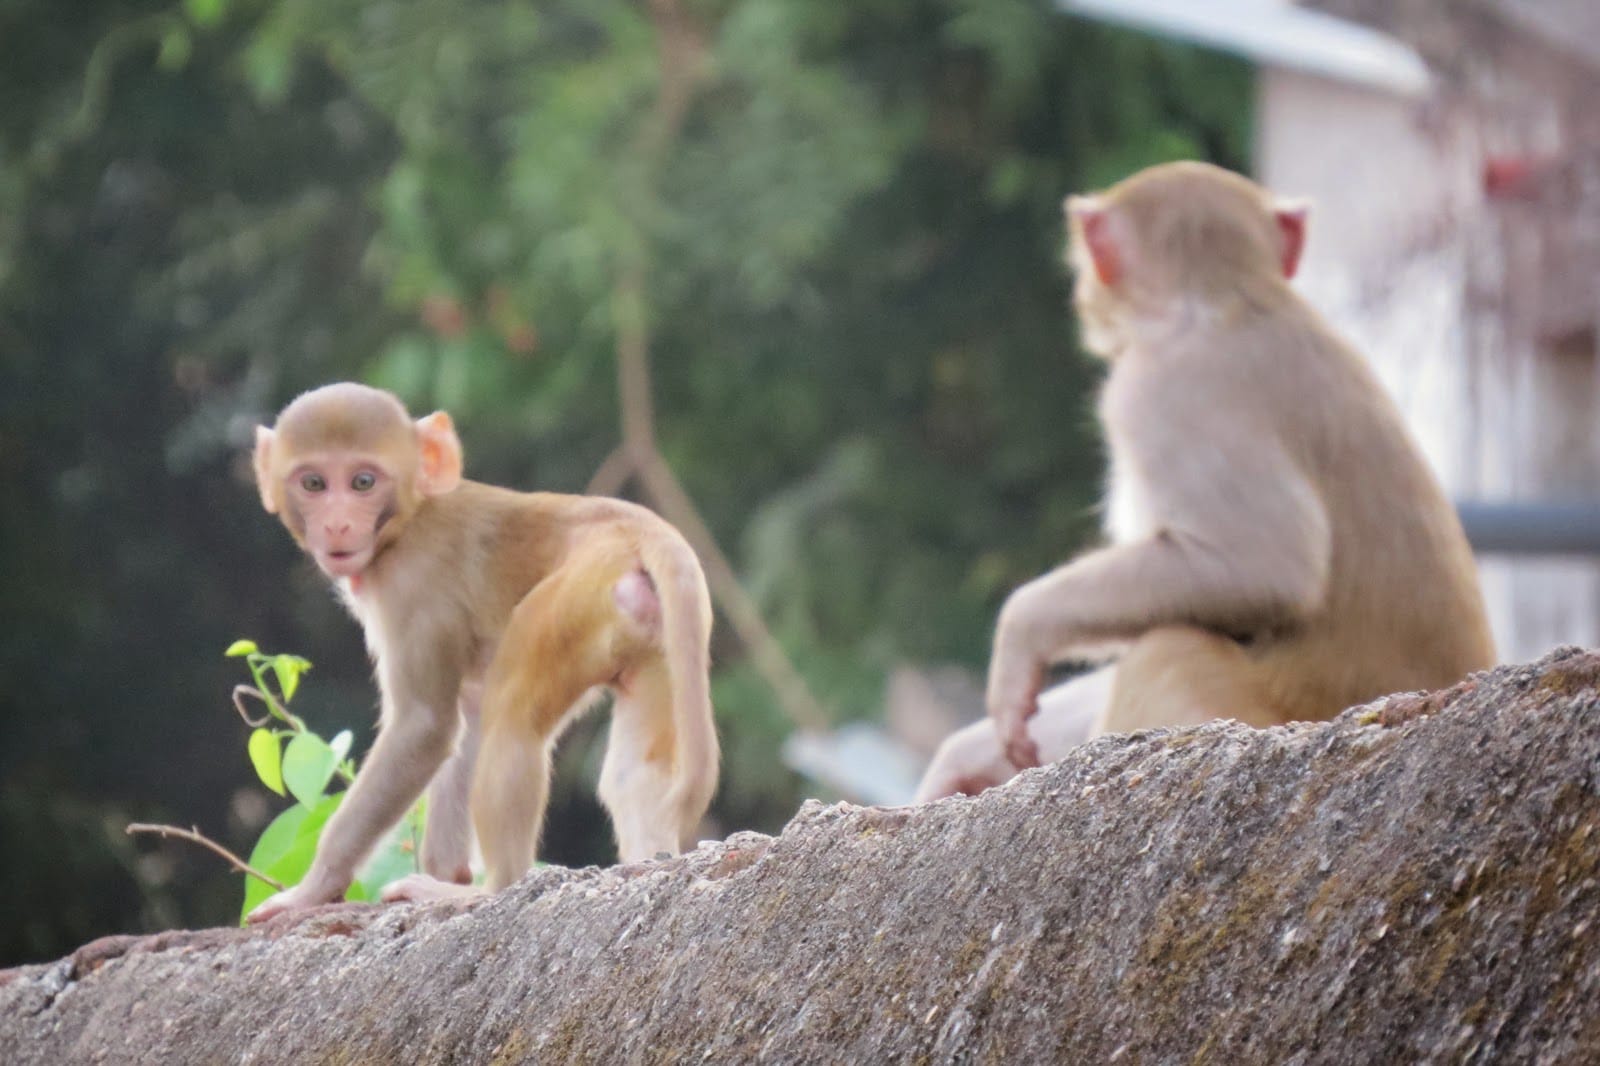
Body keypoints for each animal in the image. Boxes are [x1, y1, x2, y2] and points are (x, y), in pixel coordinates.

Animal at [245, 382, 718, 921]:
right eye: (314, 483)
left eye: (363, 482)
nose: (339, 525)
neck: (408, 521)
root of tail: (635, 528)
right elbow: (466, 709)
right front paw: (445, 869)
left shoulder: (413, 588)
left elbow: (426, 727)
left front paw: (314, 888)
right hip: (659, 637)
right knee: (635, 768)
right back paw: (645, 860)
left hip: (567, 603)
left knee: (512, 718)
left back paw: (492, 888)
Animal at [916, 160, 1495, 802]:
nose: (1084, 292)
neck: (1238, 297)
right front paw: (968, 754)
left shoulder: (1156, 393)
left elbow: (1264, 564)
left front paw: (1022, 632)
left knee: (1165, 650)